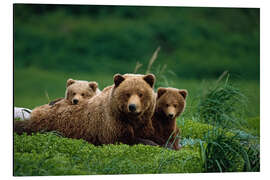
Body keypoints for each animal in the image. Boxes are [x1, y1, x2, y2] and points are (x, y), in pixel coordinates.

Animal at [14, 73, 158, 146]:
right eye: (127, 93)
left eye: (140, 93)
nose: (132, 107)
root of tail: (35, 110)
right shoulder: (111, 125)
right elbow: (122, 140)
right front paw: (149, 143)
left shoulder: (145, 123)